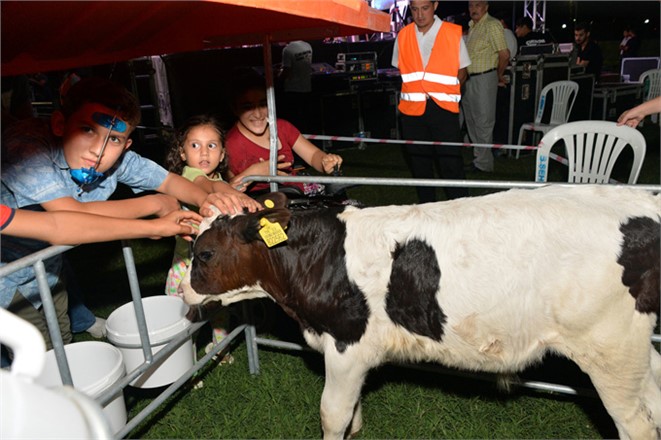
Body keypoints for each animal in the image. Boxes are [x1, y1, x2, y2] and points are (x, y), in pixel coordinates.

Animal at [179, 186, 660, 440]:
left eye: (204, 254)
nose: (182, 291)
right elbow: (352, 413)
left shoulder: (346, 343)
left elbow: (332, 414)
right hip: (632, 348)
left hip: (609, 351)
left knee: (635, 424)